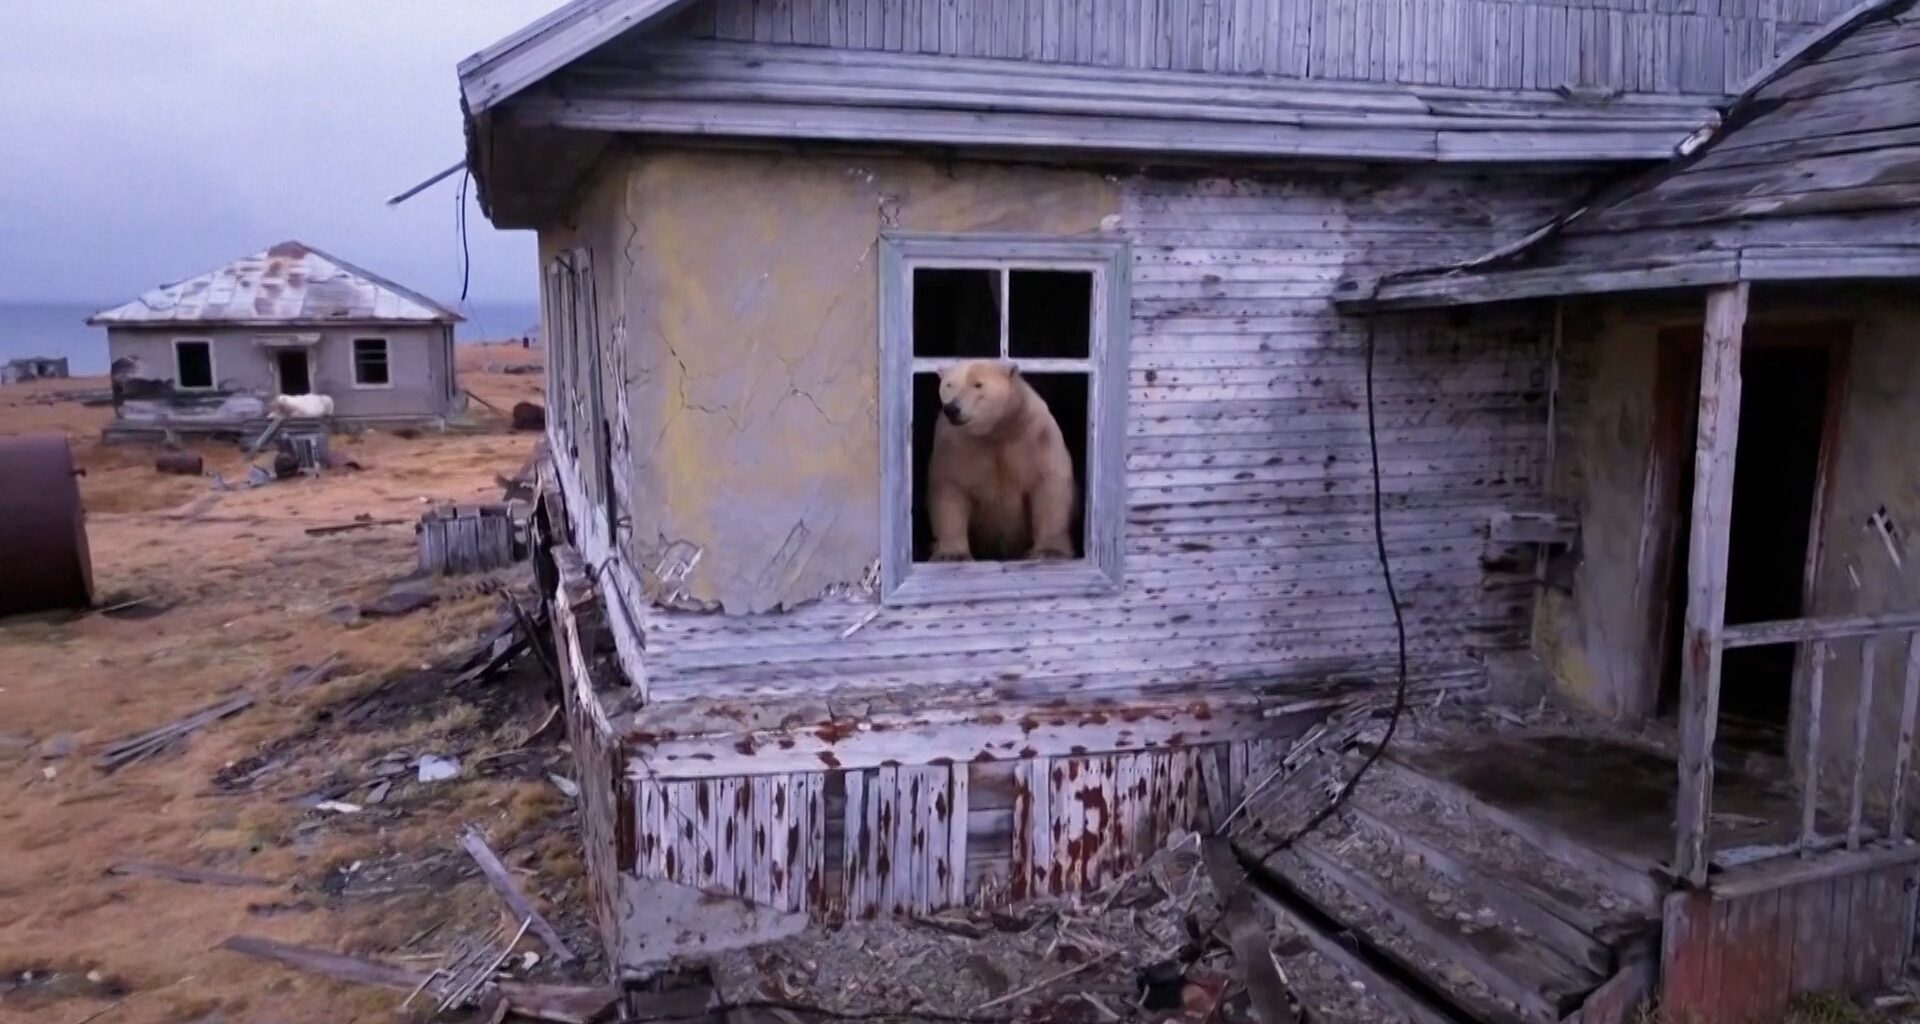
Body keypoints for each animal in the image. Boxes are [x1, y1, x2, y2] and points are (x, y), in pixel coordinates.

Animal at [926, 360, 1078, 562]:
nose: (952, 408)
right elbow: (951, 489)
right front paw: (951, 554)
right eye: (949, 385)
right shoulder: (956, 447)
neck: (997, 432)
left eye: (978, 384)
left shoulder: (1036, 439)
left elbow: (1048, 488)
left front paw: (1049, 551)